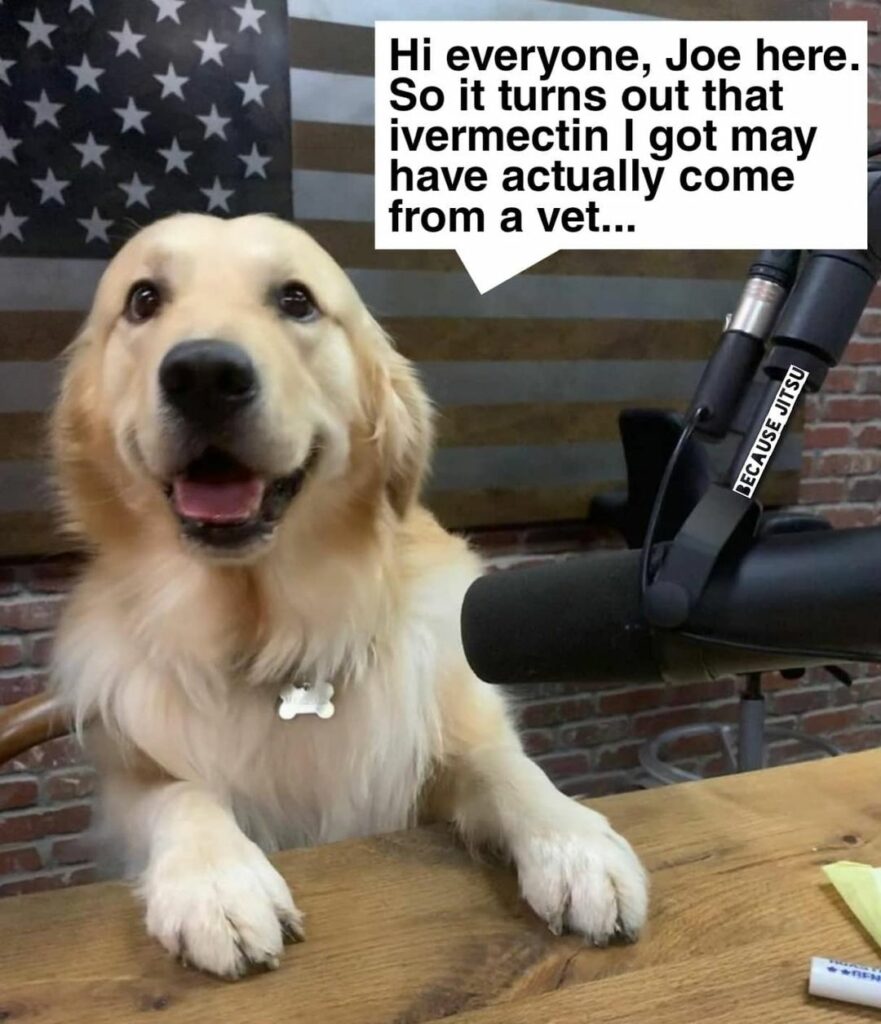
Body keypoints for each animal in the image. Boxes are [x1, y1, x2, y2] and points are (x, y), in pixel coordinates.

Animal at [50, 213, 648, 978]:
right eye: (143, 299)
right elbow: (180, 792)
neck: (272, 635)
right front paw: (217, 883)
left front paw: (576, 844)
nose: (204, 375)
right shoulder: (128, 775)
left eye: (296, 300)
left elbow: (505, 766)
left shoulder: (448, 734)